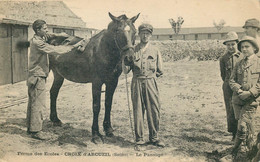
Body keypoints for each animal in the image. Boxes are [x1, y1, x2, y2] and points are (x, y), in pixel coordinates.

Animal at [47, 13, 139, 144]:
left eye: (135, 31)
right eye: (117, 31)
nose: (129, 59)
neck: (104, 51)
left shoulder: (112, 82)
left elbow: (108, 104)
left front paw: (108, 129)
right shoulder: (96, 82)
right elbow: (96, 106)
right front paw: (96, 134)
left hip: (58, 75)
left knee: (53, 92)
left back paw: (55, 120)